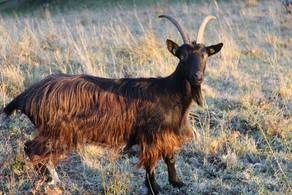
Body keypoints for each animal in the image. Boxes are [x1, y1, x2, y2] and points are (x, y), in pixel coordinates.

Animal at [1, 14, 222, 194]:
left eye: (204, 55)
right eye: (182, 56)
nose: (197, 77)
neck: (169, 92)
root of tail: (26, 94)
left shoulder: (165, 134)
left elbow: (170, 157)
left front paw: (176, 182)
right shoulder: (150, 135)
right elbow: (150, 165)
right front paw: (154, 188)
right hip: (56, 131)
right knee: (30, 148)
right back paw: (49, 179)